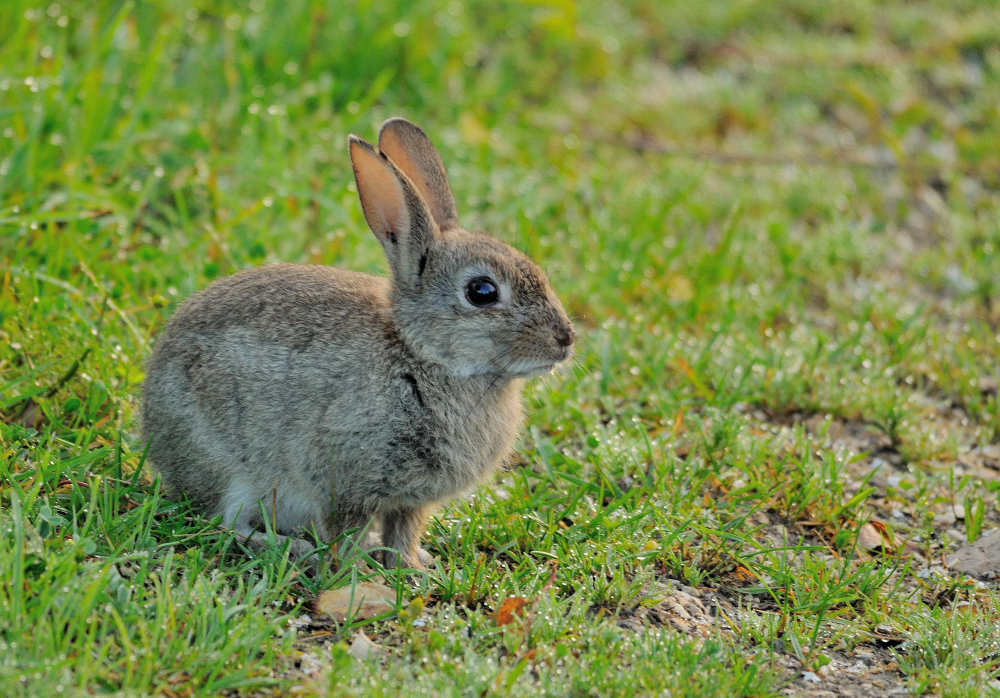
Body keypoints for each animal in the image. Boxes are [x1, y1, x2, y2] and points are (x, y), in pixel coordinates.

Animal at [142, 117, 580, 568]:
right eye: (481, 292)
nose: (565, 339)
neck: (421, 354)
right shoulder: (344, 472)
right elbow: (345, 529)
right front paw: (357, 571)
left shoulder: (410, 501)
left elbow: (404, 530)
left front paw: (412, 566)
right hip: (230, 468)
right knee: (223, 522)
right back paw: (292, 547)